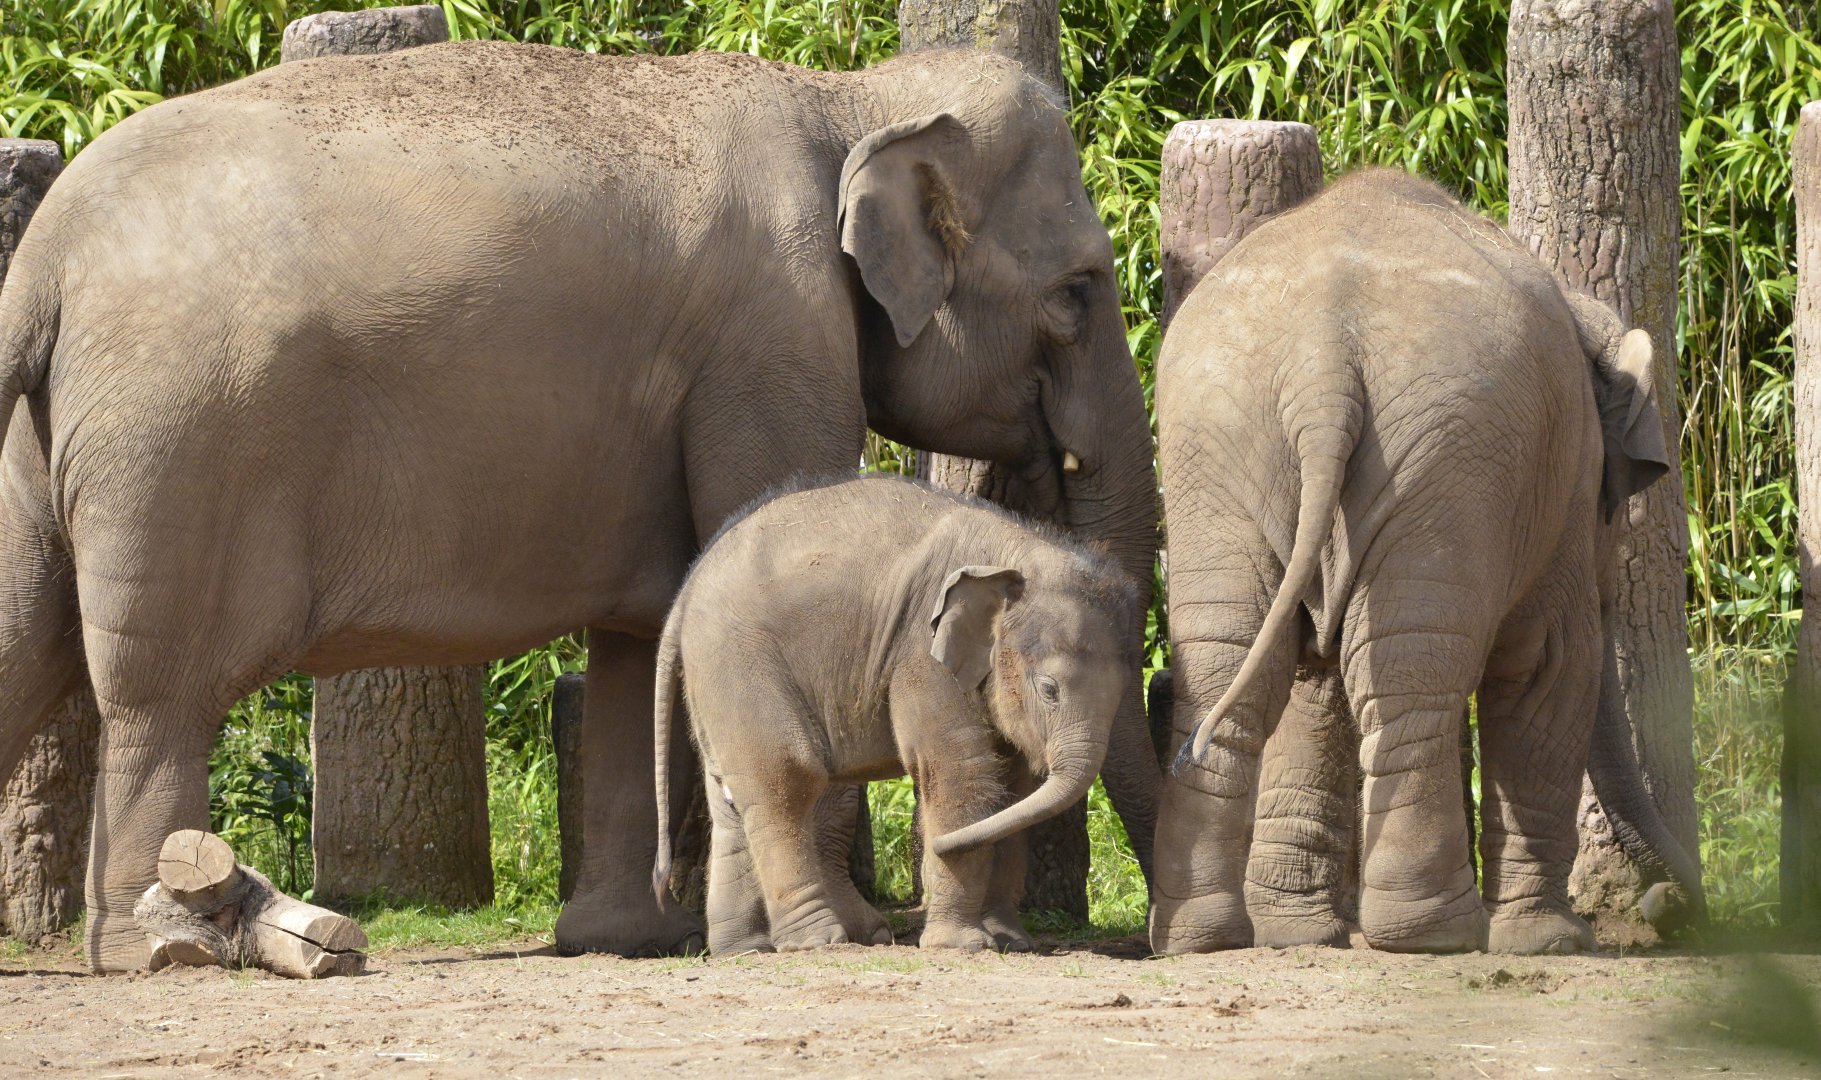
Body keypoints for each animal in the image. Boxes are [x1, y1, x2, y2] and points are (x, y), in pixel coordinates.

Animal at [651, 475, 1138, 953]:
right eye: (1049, 690)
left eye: (1122, 697)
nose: (930, 847)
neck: (1017, 551)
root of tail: (684, 595)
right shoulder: (921, 654)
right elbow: (962, 775)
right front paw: (962, 946)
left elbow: (1014, 788)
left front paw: (1010, 941)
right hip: (738, 662)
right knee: (786, 778)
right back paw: (819, 941)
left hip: (716, 681)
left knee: (733, 799)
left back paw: (749, 949)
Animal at [1148, 169, 1703, 956]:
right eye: (1617, 512)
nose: (1669, 906)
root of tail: (1320, 365)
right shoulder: (1559, 494)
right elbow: (1548, 664)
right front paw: (1552, 941)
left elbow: (1311, 672)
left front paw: (1295, 933)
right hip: (1448, 459)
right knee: (1412, 676)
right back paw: (1436, 934)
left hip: (1218, 444)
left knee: (1234, 660)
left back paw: (1213, 937)